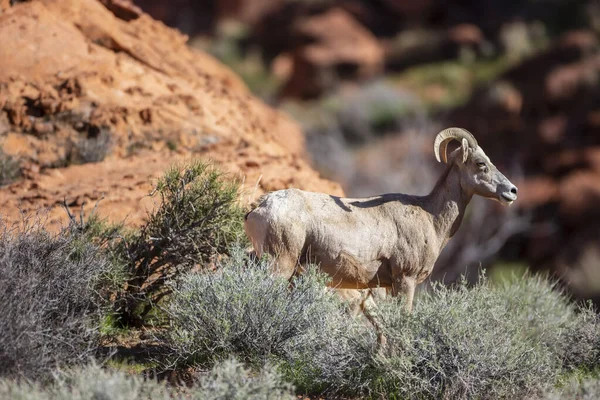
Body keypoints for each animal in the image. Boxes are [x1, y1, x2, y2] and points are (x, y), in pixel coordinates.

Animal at [244, 126, 516, 336]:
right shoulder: (405, 281)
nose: (512, 191)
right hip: (280, 264)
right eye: (480, 164)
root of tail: (260, 207)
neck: (431, 218)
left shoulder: (386, 287)